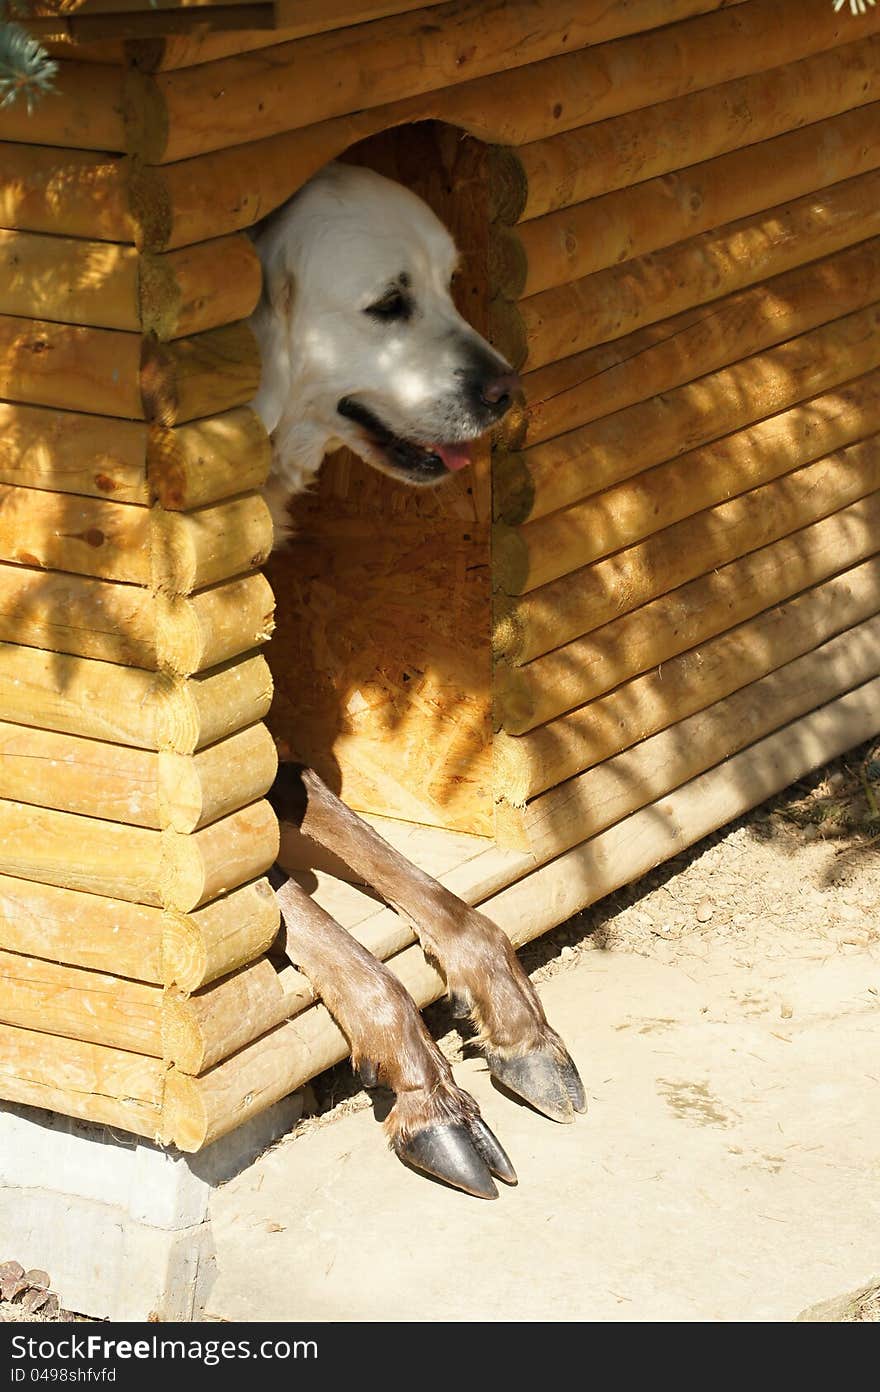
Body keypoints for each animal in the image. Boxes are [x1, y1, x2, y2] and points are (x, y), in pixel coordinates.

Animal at [249, 168, 584, 1202]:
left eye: (448, 282)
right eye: (388, 304)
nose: (508, 389)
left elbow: (423, 886)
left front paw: (515, 1023)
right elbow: (317, 925)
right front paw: (427, 1098)